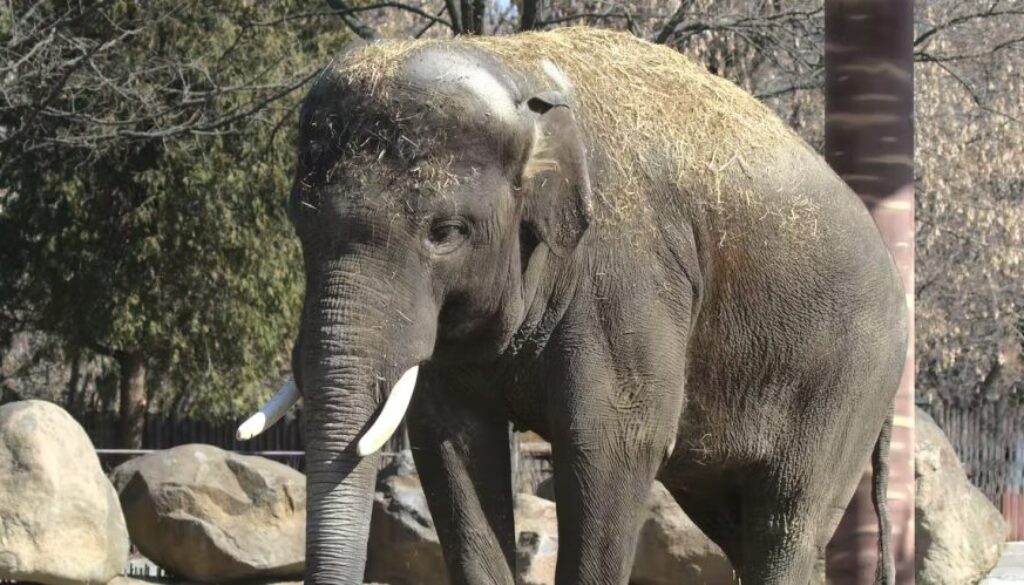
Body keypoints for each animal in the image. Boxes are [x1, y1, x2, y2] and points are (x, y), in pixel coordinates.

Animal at [238, 27, 908, 585]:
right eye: (300, 222)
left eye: (446, 232)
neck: (518, 72)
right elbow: (453, 442)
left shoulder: (628, 272)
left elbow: (611, 439)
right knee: (735, 521)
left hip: (847, 382)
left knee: (787, 515)